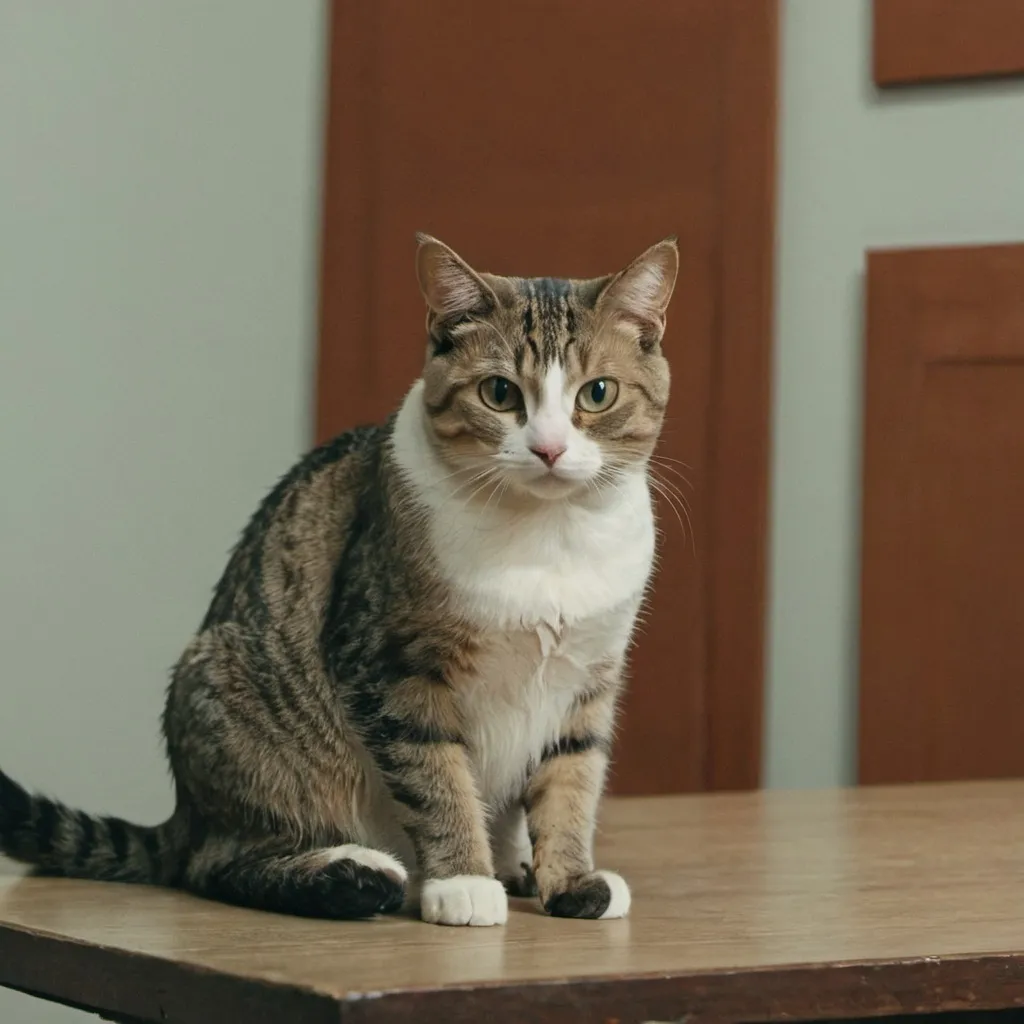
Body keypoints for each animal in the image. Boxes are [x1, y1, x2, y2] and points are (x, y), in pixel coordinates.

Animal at [0, 232, 675, 929]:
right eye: (498, 392)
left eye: (597, 393)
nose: (548, 449)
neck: (547, 538)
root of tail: (184, 813)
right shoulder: (391, 663)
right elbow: (438, 779)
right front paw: (463, 879)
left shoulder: (588, 681)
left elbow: (572, 783)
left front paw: (569, 880)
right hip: (232, 705)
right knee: (216, 863)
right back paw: (353, 876)